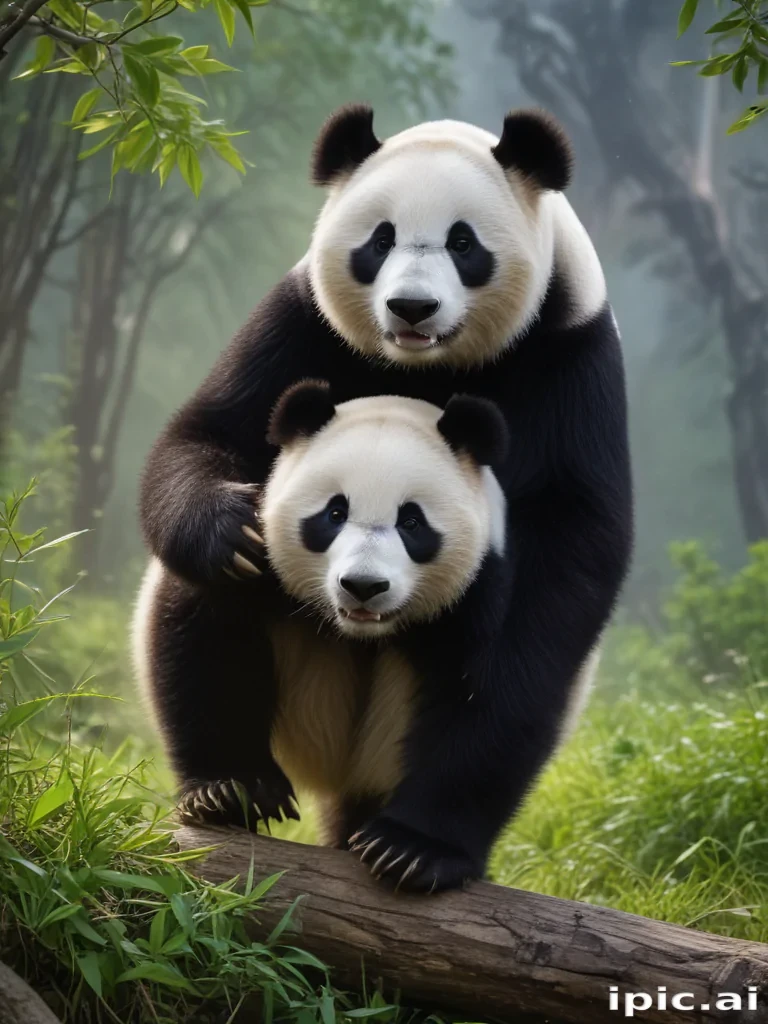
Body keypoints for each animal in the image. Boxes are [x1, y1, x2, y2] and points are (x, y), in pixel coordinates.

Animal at [137, 104, 633, 892]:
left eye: (463, 243)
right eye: (379, 240)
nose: (411, 307)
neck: (426, 367)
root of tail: (342, 775)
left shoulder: (569, 357)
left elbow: (573, 539)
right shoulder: (301, 319)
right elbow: (207, 432)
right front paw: (229, 532)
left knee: (496, 704)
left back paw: (415, 845)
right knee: (199, 615)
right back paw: (229, 786)